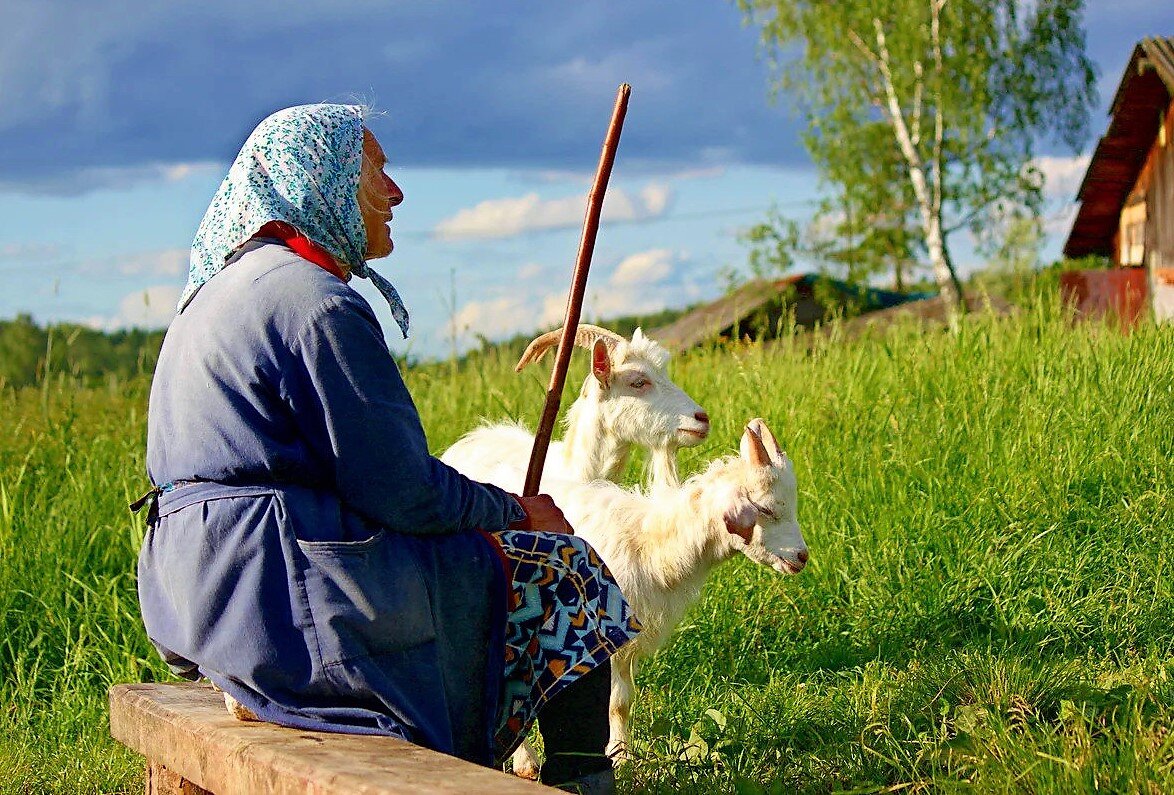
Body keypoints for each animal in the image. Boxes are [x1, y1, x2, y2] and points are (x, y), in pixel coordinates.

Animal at [488, 418, 807, 770]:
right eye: (765, 508)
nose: (802, 557)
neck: (650, 541)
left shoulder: (628, 636)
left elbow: (620, 701)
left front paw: (622, 755)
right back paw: (525, 761)